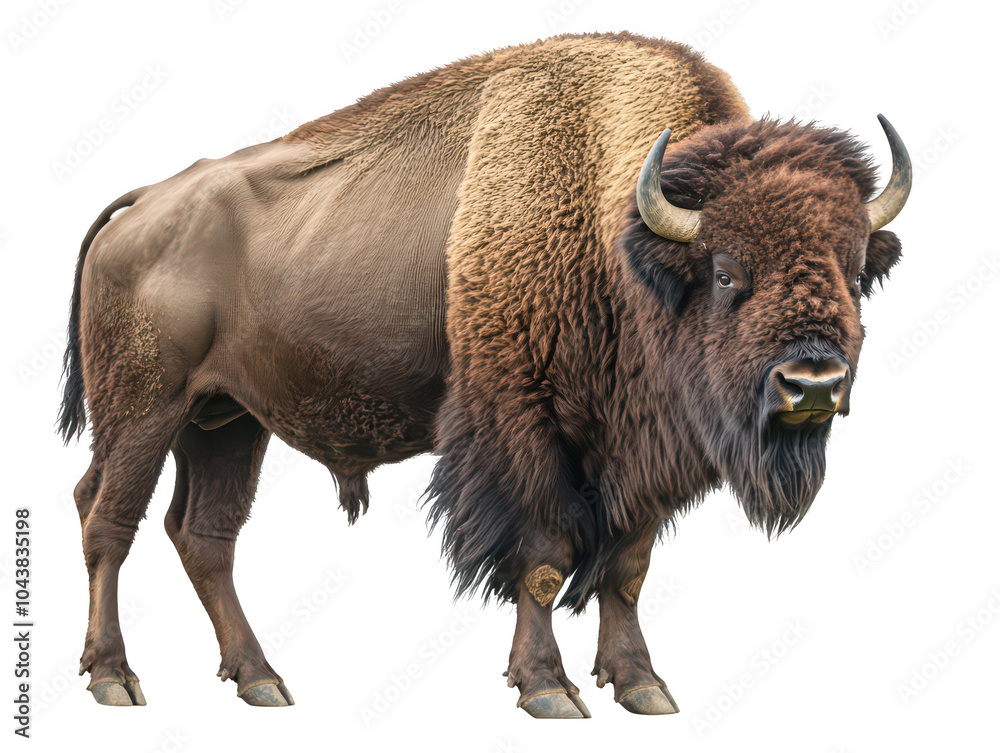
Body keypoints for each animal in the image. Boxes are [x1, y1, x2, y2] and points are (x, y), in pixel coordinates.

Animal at [59, 32, 910, 717]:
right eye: (728, 271)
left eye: (855, 270)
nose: (813, 385)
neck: (622, 237)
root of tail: (145, 205)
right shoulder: (522, 425)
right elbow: (542, 556)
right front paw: (548, 689)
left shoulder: (642, 457)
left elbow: (627, 567)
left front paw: (642, 686)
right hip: (144, 409)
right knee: (107, 516)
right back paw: (114, 678)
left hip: (227, 420)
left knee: (204, 533)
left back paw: (261, 679)